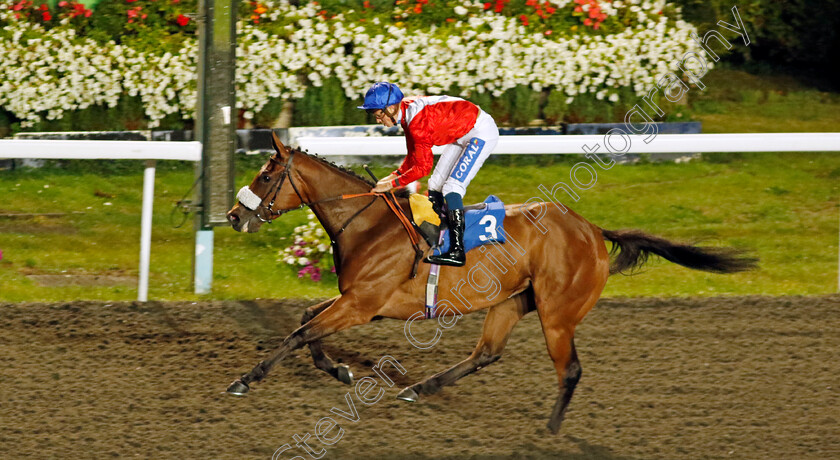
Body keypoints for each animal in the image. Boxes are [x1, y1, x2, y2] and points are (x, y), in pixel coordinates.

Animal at [223, 132, 756, 432]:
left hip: (558, 314)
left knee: (570, 370)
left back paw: (551, 430)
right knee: (486, 353)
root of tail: (592, 230)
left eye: (266, 174)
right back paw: (420, 389)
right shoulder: (361, 302)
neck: (369, 223)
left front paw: (246, 380)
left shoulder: (363, 303)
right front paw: (340, 371)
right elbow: (306, 322)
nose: (232, 216)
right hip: (511, 301)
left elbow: (300, 332)